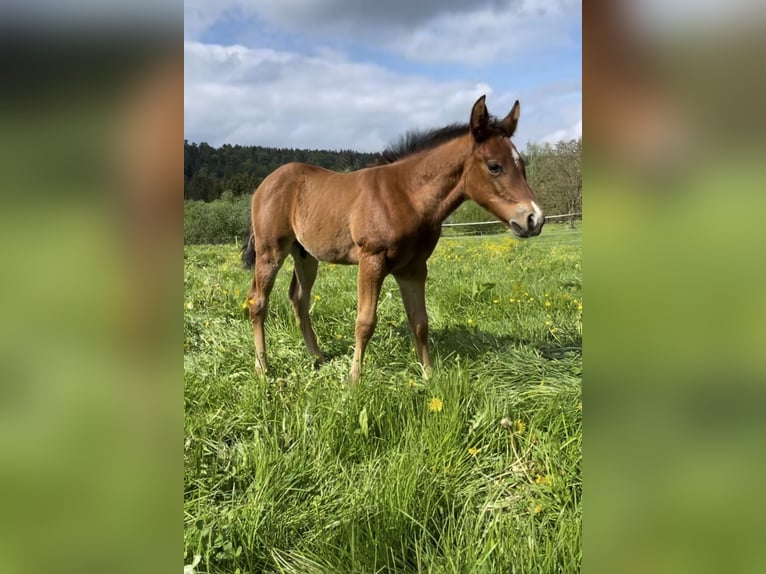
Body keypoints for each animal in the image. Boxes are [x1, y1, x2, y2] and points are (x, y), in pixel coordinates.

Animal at [243, 95, 544, 383]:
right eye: (494, 166)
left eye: (522, 165)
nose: (534, 219)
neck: (407, 196)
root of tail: (265, 184)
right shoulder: (371, 261)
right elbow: (365, 322)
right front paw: (354, 381)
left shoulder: (414, 268)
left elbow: (420, 322)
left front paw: (428, 376)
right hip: (270, 250)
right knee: (258, 301)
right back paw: (262, 368)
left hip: (305, 254)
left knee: (299, 299)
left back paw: (317, 358)